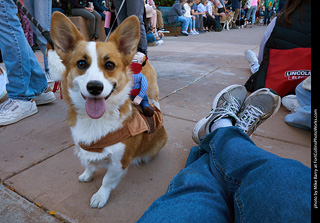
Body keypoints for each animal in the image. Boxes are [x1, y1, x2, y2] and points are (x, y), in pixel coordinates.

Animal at [49, 11, 168, 207]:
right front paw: (87, 175)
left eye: (110, 65)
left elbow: (107, 181)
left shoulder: (119, 161)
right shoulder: (84, 147)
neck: (95, 121)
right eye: (81, 64)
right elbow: (88, 164)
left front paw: (100, 196)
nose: (95, 87)